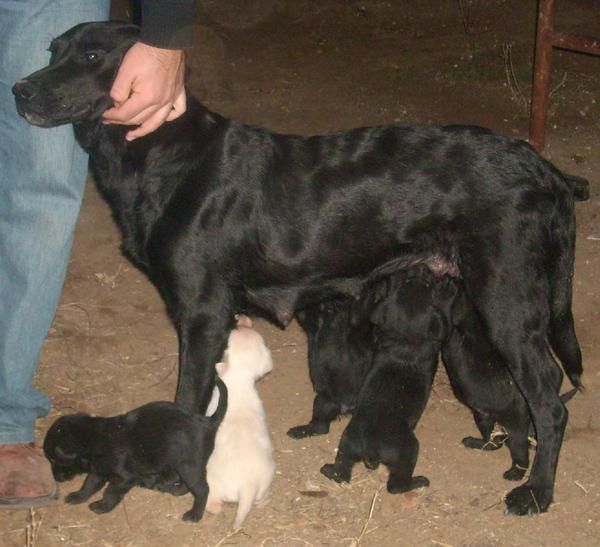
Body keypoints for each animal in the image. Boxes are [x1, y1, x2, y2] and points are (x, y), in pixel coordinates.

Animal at [42, 376, 227, 524]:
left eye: (54, 459)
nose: (55, 478)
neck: (96, 440)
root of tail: (205, 422)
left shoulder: (124, 478)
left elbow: (110, 493)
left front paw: (102, 506)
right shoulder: (97, 471)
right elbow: (88, 486)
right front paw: (78, 496)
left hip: (189, 466)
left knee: (202, 490)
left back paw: (195, 514)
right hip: (181, 465)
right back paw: (177, 490)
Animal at [204, 316, 274, 532]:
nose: (241, 321)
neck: (238, 380)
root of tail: (247, 485)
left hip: (212, 483)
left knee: (213, 505)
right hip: (266, 479)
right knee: (258, 499)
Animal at [318, 268, 454, 494]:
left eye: (408, 281)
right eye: (427, 285)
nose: (419, 270)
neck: (406, 339)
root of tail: (372, 448)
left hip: (348, 443)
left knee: (343, 472)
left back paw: (329, 470)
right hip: (408, 450)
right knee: (395, 485)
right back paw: (417, 482)